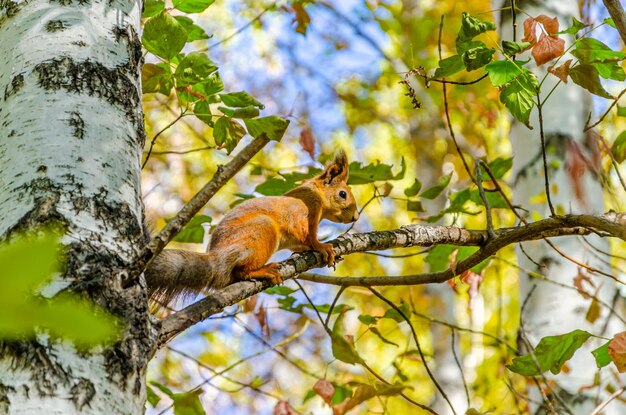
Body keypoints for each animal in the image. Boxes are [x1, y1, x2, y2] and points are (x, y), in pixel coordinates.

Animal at [143, 152, 356, 306]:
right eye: (342, 194)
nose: (355, 217)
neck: (317, 196)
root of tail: (218, 258)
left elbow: (297, 245)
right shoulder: (303, 209)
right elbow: (305, 235)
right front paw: (322, 246)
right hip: (262, 231)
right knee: (241, 271)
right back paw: (263, 271)